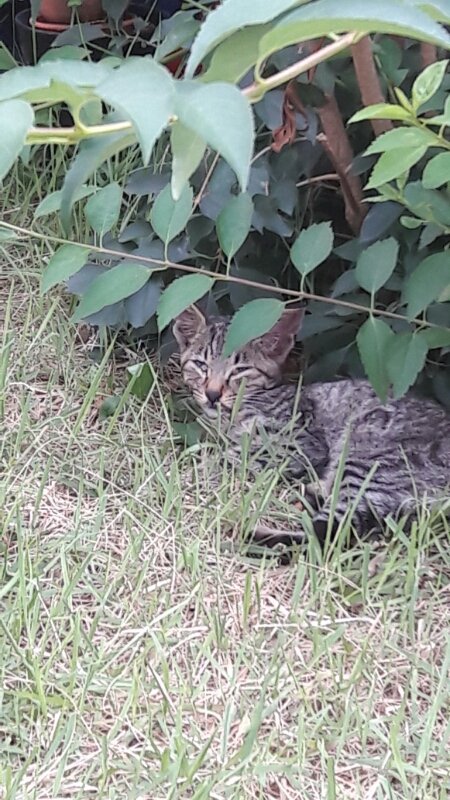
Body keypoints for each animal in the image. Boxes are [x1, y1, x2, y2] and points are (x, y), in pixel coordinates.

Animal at [173, 305, 450, 548]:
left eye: (239, 370)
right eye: (200, 365)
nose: (212, 394)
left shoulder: (299, 444)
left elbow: (230, 457)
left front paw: (194, 471)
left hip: (366, 454)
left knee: (335, 530)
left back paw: (255, 537)